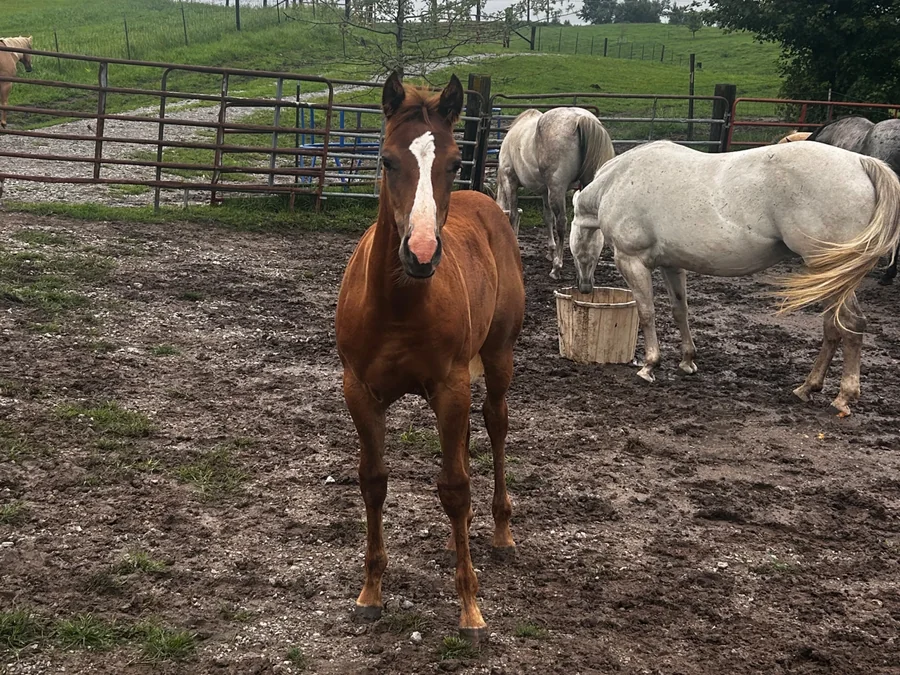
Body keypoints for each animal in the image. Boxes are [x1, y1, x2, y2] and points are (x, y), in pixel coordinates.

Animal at [335, 73, 525, 641]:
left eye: (455, 162)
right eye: (385, 160)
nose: (421, 253)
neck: (398, 304)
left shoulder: (450, 388)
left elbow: (456, 488)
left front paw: (470, 609)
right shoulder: (360, 391)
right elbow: (374, 481)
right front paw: (370, 593)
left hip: (497, 359)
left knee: (495, 426)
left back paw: (501, 532)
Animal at [495, 106, 615, 280]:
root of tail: (581, 118)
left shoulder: (509, 180)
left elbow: (513, 215)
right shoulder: (545, 191)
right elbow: (547, 218)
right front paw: (550, 252)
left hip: (558, 188)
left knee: (562, 223)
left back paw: (556, 268)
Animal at [570, 140, 900, 417]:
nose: (585, 289)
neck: (618, 180)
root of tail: (861, 162)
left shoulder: (632, 261)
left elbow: (647, 312)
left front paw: (650, 365)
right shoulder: (672, 265)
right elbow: (680, 311)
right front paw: (687, 361)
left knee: (851, 325)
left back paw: (843, 397)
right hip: (829, 278)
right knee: (833, 328)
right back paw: (808, 388)